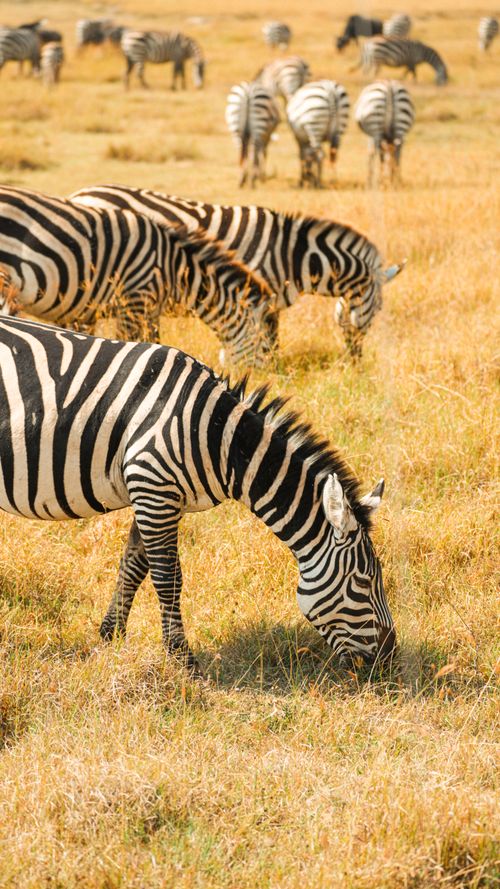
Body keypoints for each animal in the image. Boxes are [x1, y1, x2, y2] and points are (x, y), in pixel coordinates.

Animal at [0, 186, 275, 366]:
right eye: (265, 346)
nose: (268, 375)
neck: (172, 267)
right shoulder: (135, 300)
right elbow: (129, 344)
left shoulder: (144, 309)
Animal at [0, 314, 397, 672]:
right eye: (364, 581)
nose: (390, 657)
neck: (220, 437)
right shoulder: (153, 486)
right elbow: (168, 577)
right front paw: (182, 660)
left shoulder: (157, 496)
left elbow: (133, 565)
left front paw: (111, 635)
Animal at [69, 185, 404, 358]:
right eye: (379, 309)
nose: (356, 361)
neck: (291, 255)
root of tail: (80, 194)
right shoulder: (260, 298)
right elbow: (269, 343)